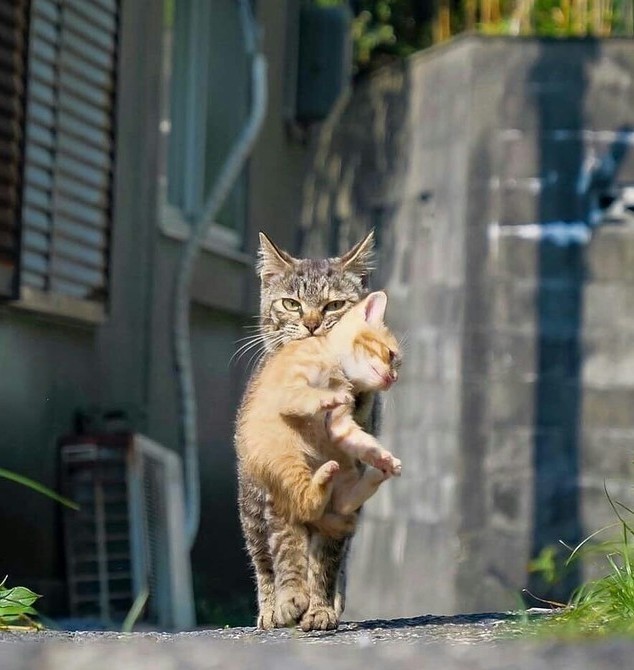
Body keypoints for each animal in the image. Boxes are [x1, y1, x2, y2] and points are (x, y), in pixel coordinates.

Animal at [236, 230, 376, 632]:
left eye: (334, 306)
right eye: (291, 304)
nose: (313, 323)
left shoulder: (345, 485)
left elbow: (327, 558)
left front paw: (320, 608)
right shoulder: (277, 484)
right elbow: (286, 548)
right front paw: (291, 601)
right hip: (250, 498)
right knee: (261, 556)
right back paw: (270, 608)